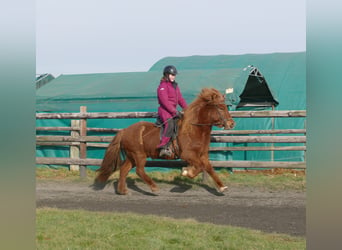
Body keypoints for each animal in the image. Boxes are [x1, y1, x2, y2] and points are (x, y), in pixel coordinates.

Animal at [96, 87, 235, 193]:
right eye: (221, 108)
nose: (231, 124)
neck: (194, 129)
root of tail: (124, 130)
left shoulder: (203, 155)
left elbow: (209, 168)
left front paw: (222, 187)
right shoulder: (188, 155)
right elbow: (200, 167)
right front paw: (186, 172)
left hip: (132, 157)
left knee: (124, 170)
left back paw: (122, 191)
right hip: (139, 155)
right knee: (139, 170)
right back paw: (153, 187)